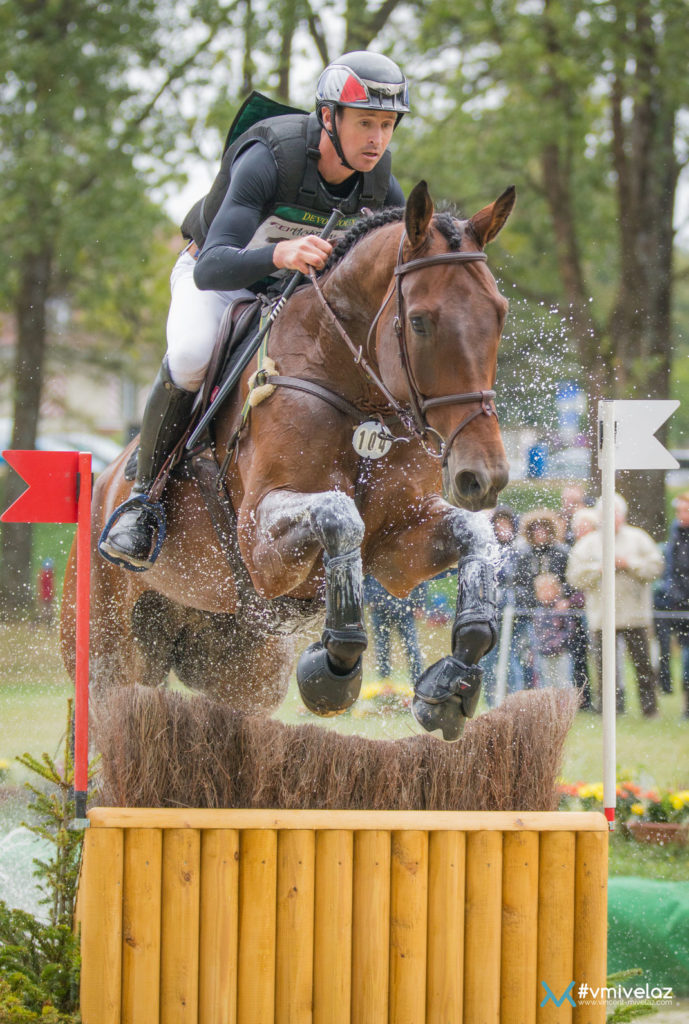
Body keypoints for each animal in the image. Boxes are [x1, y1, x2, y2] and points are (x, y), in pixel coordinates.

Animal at [60, 180, 515, 741]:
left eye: (499, 312)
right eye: (419, 322)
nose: (483, 476)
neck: (355, 392)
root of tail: (101, 491)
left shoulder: (397, 544)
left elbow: (476, 535)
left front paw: (452, 683)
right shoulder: (260, 540)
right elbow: (340, 516)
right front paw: (336, 666)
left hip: (244, 673)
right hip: (107, 657)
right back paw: (132, 527)